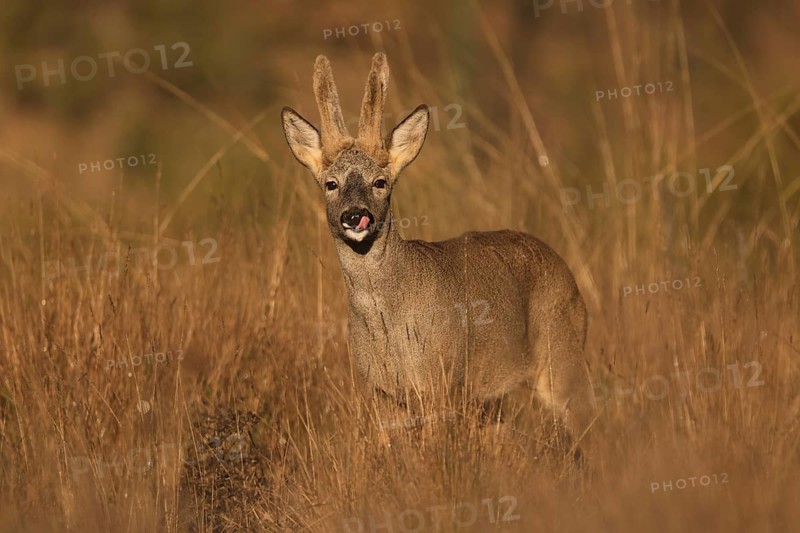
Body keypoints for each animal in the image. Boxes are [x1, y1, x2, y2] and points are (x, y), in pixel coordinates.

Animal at [281, 53, 596, 456]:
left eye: (380, 182)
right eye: (330, 184)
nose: (355, 216)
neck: (388, 326)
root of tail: (566, 269)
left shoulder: (441, 379)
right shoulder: (381, 392)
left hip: (562, 349)